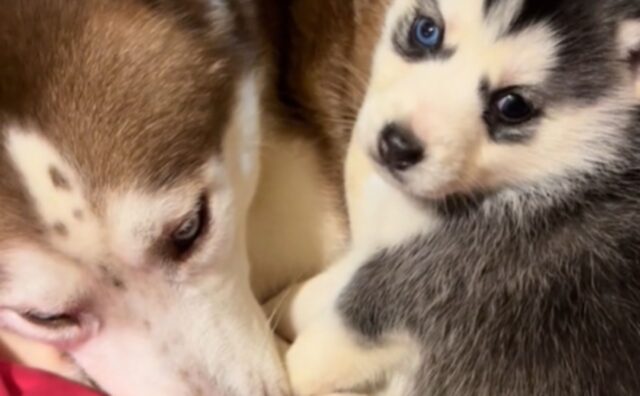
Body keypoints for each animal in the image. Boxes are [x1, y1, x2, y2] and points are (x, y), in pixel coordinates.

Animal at [288, 0, 640, 396]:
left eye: (512, 105)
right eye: (426, 31)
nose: (396, 146)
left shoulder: (431, 281)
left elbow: (321, 351)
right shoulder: (386, 253)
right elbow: (323, 287)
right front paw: (288, 303)